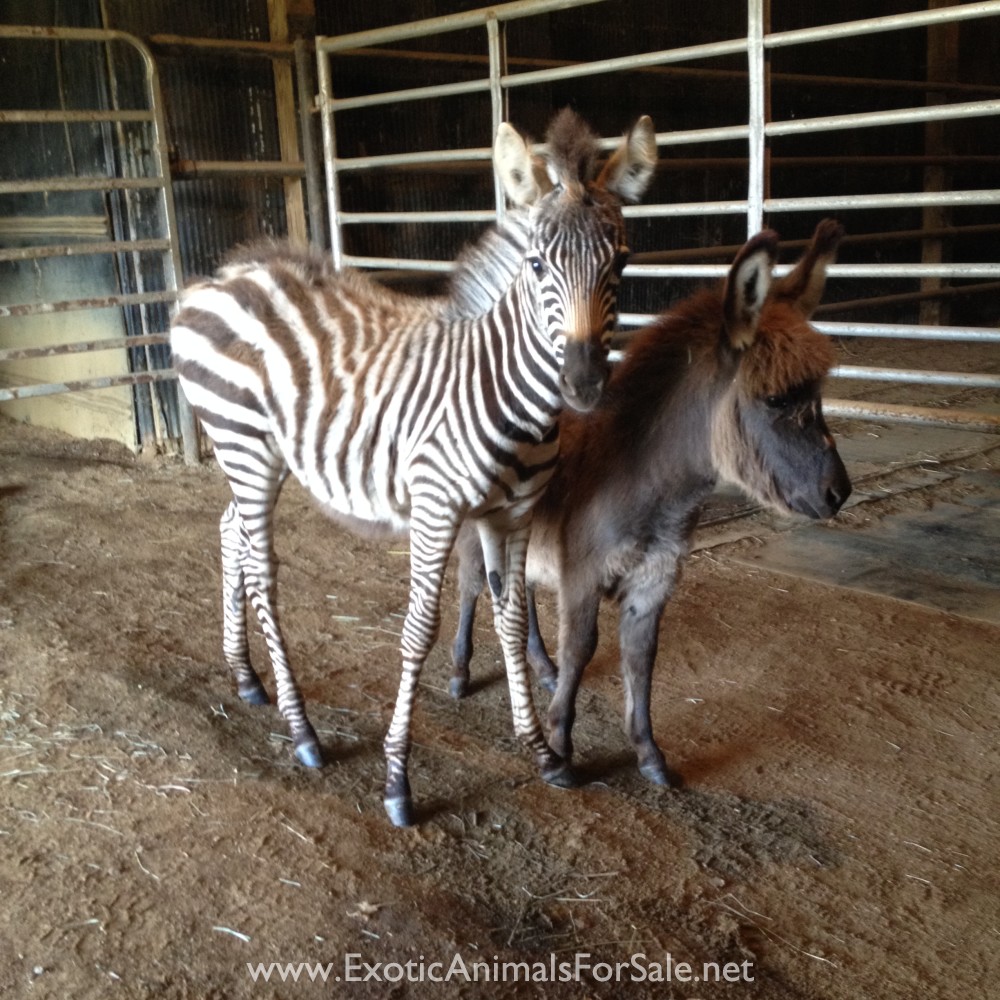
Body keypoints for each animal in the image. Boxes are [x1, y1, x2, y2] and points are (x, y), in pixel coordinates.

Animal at [169, 108, 657, 827]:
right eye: (537, 263)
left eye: (620, 261)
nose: (585, 382)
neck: (501, 383)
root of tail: (218, 278)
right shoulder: (435, 507)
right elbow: (418, 631)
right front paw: (398, 781)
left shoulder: (511, 513)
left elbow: (512, 621)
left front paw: (542, 751)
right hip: (246, 447)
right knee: (261, 568)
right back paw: (303, 730)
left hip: (258, 454)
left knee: (230, 530)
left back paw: (247, 677)